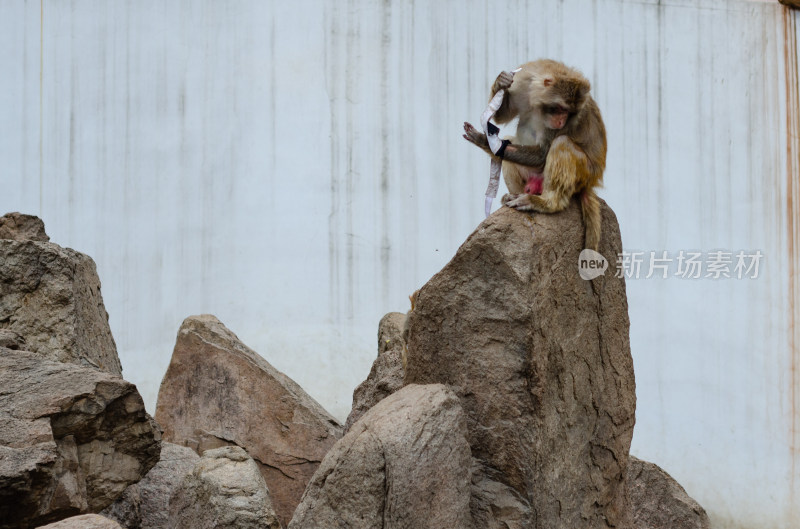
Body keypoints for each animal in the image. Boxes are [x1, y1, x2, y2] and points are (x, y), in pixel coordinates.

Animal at [462, 58, 608, 253]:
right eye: (560, 108)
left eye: (569, 113)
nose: (561, 122)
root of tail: (591, 182)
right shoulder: (524, 86)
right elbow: (503, 116)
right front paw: (501, 81)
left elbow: (543, 153)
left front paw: (484, 141)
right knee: (509, 145)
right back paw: (514, 195)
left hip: (584, 174)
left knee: (562, 143)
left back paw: (547, 203)